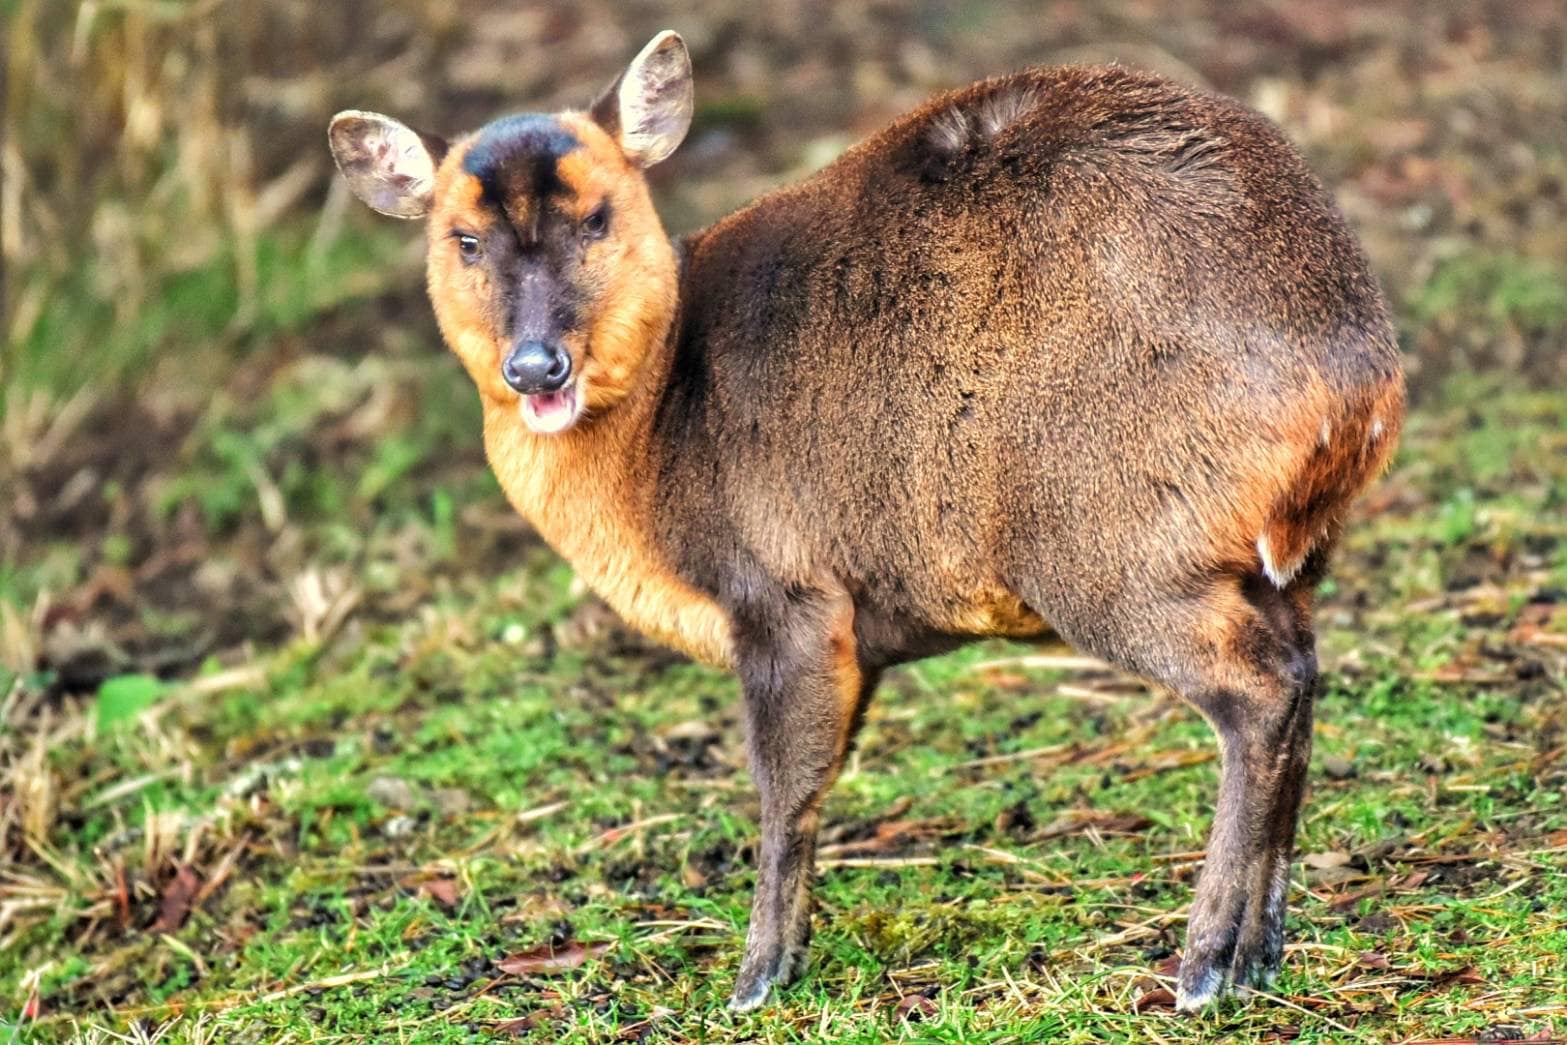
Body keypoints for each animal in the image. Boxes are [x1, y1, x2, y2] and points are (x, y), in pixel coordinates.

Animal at [328, 30, 1403, 1012]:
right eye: (463, 241)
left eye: (598, 215)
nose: (535, 365)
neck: (654, 432)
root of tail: (1357, 379)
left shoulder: (783, 594)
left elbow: (785, 788)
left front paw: (757, 976)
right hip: (1283, 556)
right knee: (1303, 673)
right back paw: (1261, 948)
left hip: (1111, 544)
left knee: (1257, 690)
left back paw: (1204, 963)